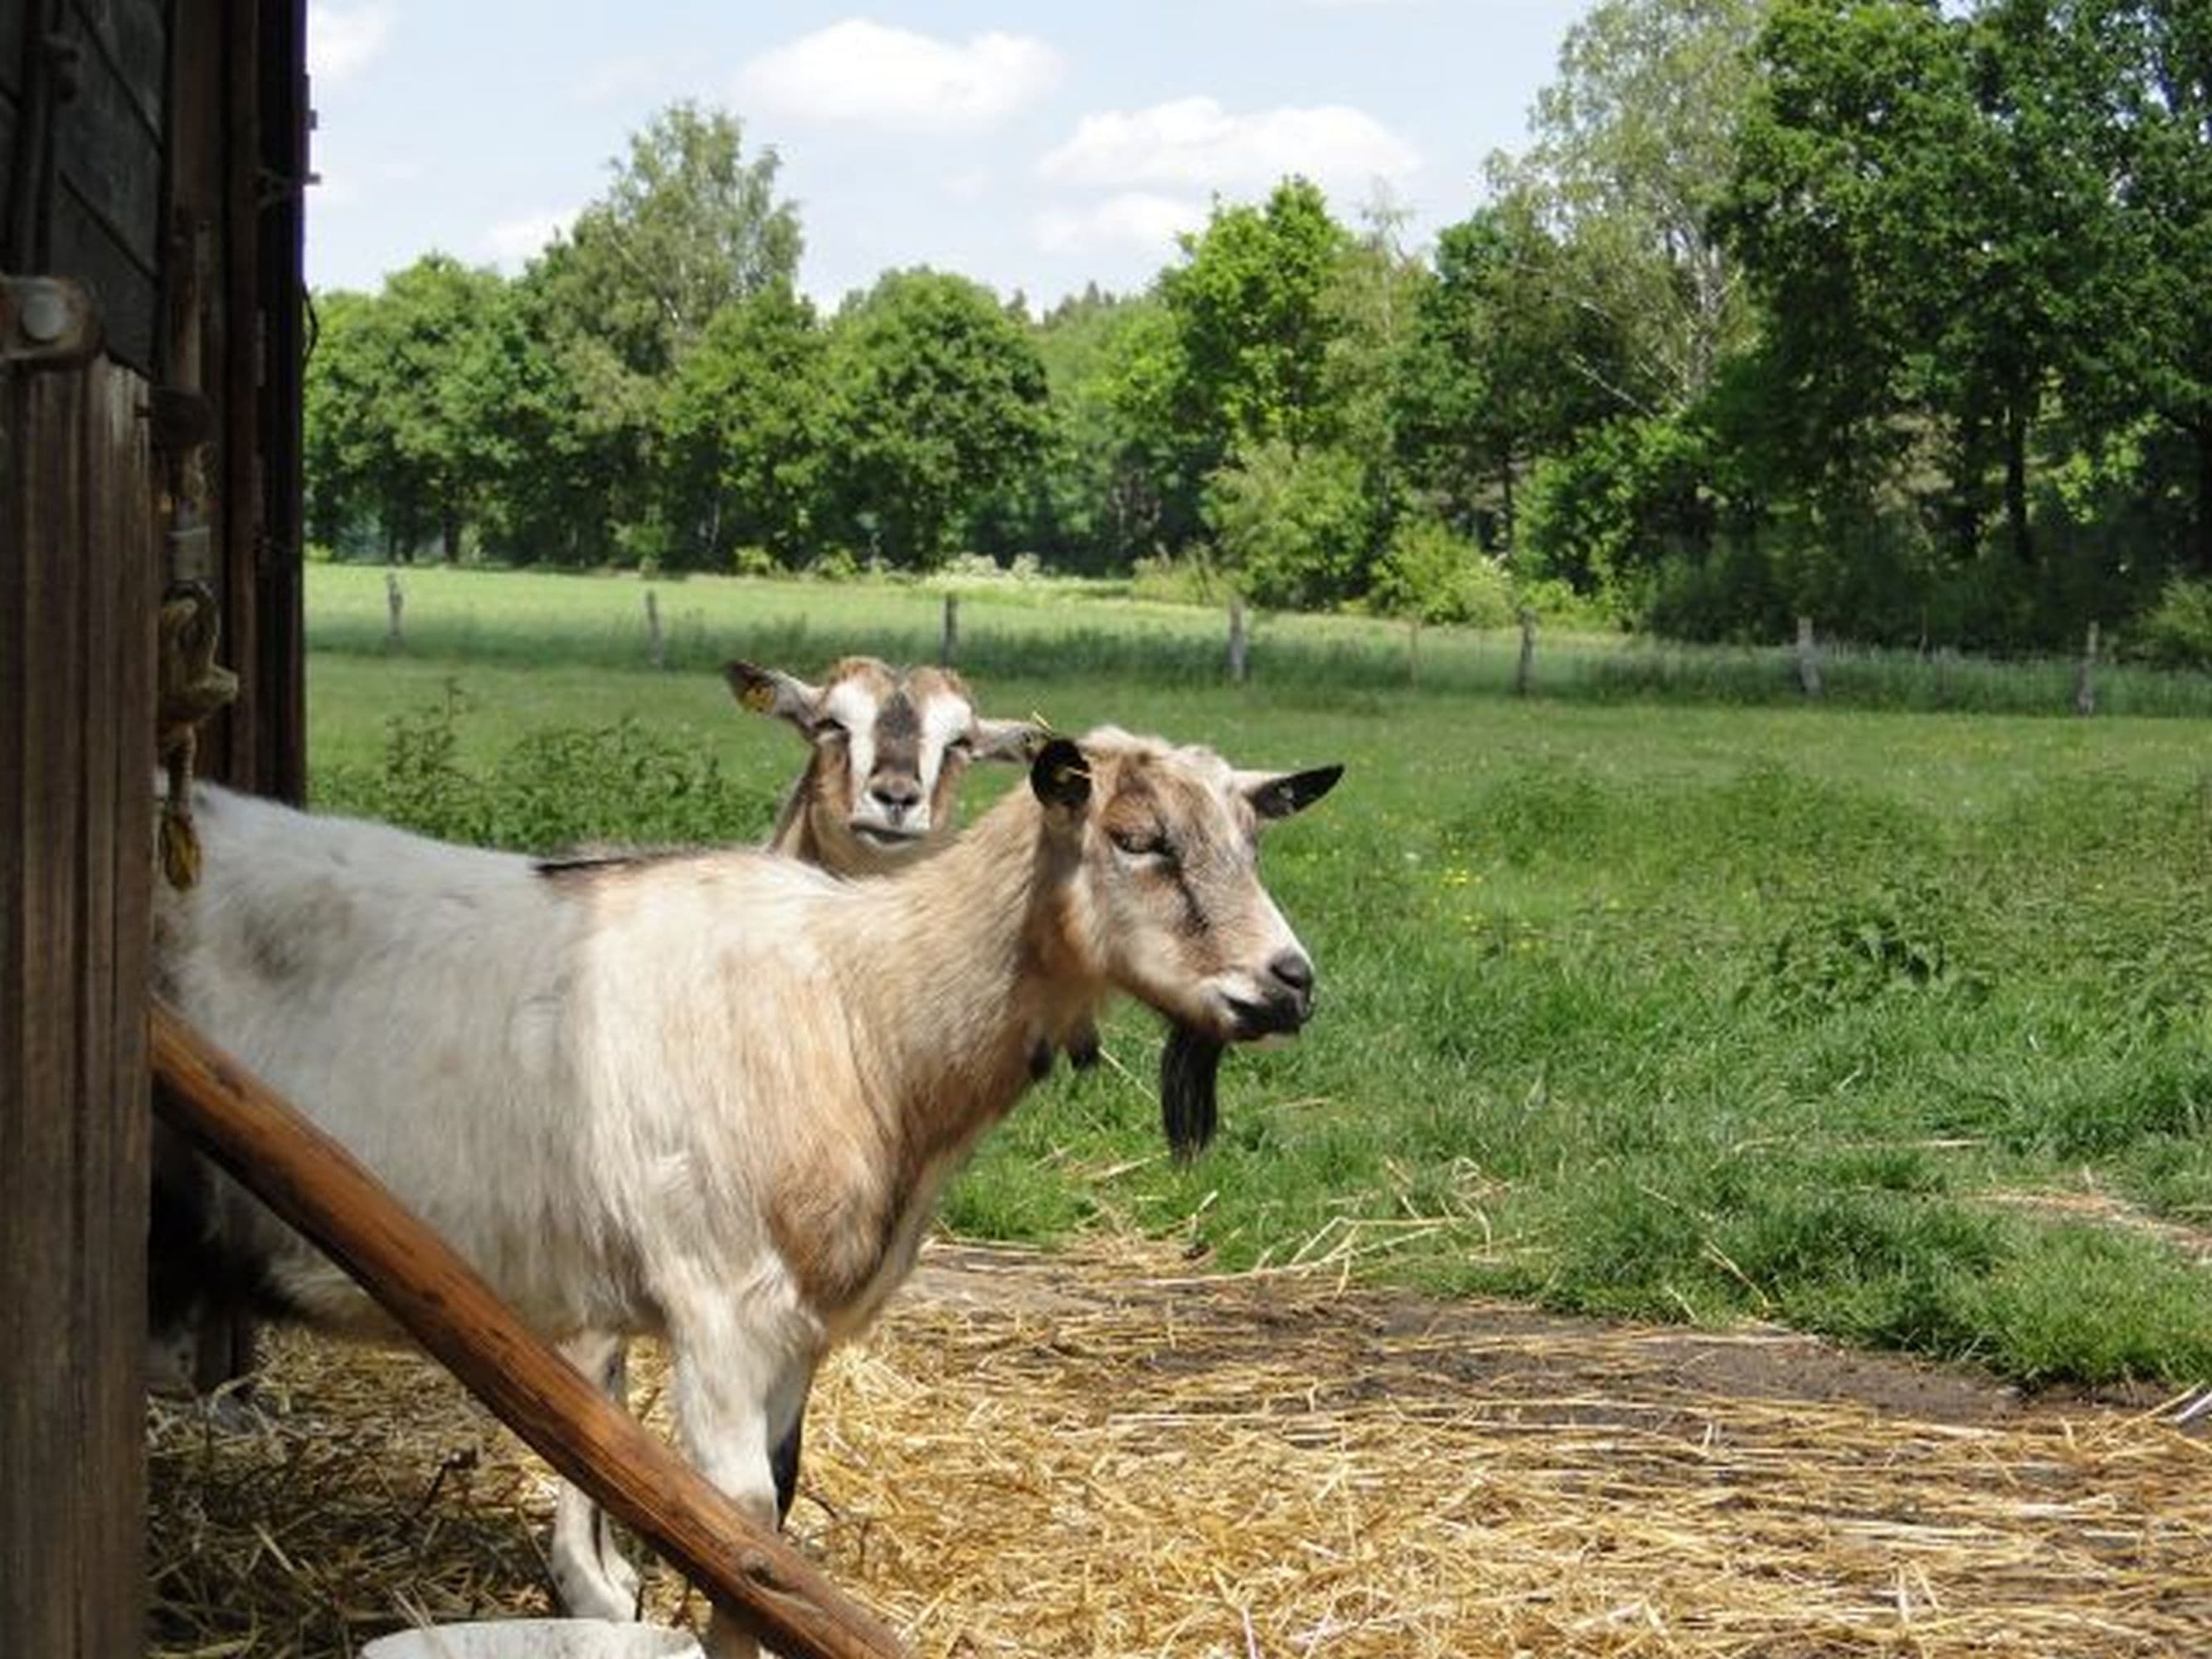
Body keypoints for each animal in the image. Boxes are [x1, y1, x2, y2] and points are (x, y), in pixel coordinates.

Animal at [150, 728, 1340, 1658]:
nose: (1290, 984)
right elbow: (737, 1536)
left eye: (1252, 840)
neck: (860, 1014)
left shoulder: (795, 1332)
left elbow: (771, 1508)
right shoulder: (717, 1306)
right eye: (1138, 840)